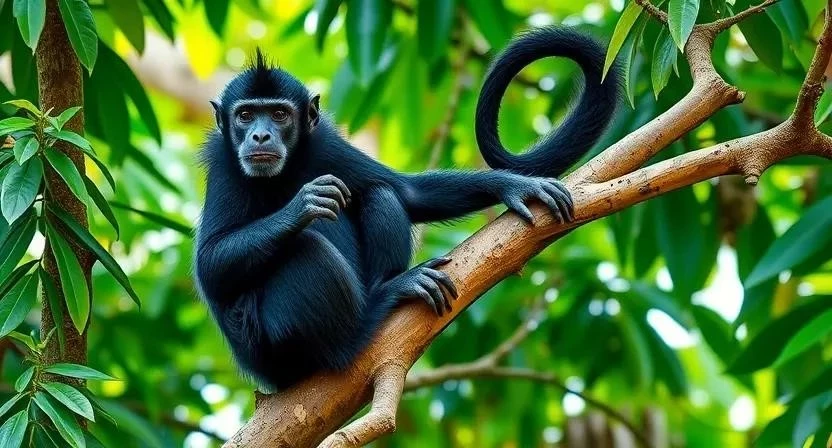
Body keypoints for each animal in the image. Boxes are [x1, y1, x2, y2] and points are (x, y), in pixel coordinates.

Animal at [194, 26, 620, 390]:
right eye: (245, 115)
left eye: (279, 114)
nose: (260, 135)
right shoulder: (224, 160)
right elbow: (210, 264)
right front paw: (303, 204)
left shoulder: (323, 140)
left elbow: (408, 191)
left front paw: (514, 184)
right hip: (270, 348)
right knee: (308, 244)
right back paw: (374, 311)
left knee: (380, 193)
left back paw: (386, 286)